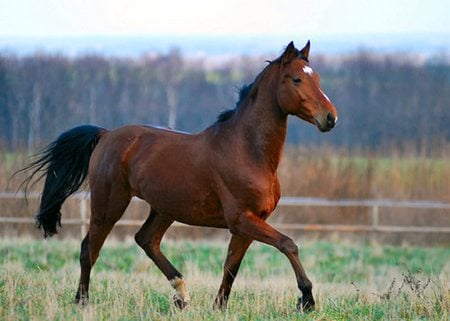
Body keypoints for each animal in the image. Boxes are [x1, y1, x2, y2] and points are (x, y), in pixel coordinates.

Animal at [22, 40, 338, 312]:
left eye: (317, 78)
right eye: (296, 79)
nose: (330, 118)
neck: (245, 150)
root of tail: (106, 135)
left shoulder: (246, 225)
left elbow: (231, 267)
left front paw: (219, 307)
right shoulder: (242, 219)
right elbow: (288, 244)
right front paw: (307, 299)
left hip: (164, 208)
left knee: (146, 240)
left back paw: (181, 294)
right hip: (109, 204)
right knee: (90, 248)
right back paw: (83, 301)